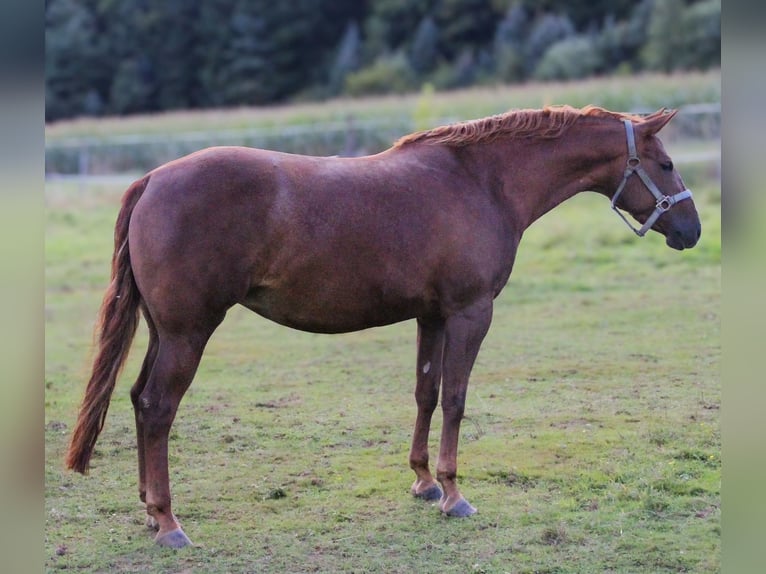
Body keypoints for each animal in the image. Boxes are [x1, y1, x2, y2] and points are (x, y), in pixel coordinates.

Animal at [66, 106, 704, 552]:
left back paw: (149, 513)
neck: (482, 181)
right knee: (157, 409)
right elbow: (456, 400)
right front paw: (454, 494)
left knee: (138, 400)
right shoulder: (471, 312)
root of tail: (152, 179)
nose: (692, 230)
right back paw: (170, 522)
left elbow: (426, 392)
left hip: (163, 332)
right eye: (666, 164)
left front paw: (423, 483)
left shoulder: (432, 315)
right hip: (187, 333)